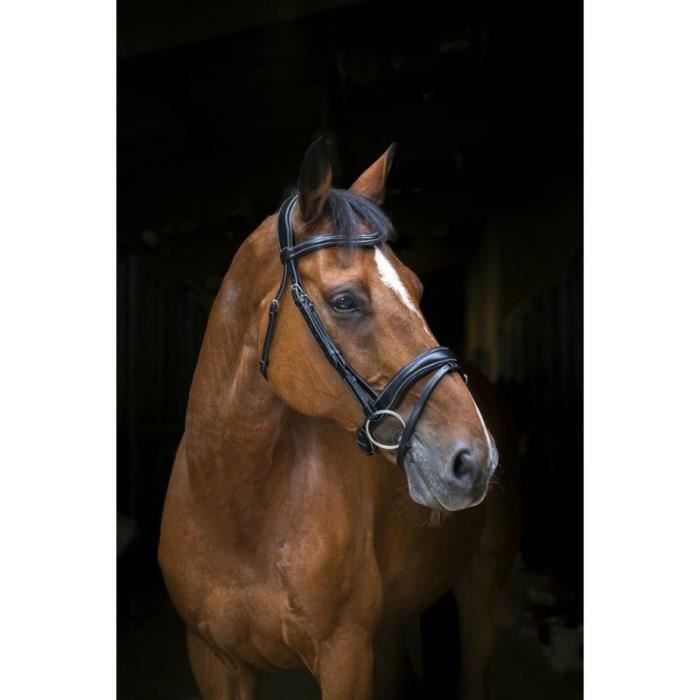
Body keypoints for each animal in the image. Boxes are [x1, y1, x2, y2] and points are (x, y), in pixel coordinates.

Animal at [158, 138, 520, 700]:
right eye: (345, 300)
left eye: (417, 289)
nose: (474, 458)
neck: (237, 510)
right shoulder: (214, 661)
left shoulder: (345, 655)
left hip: (483, 590)